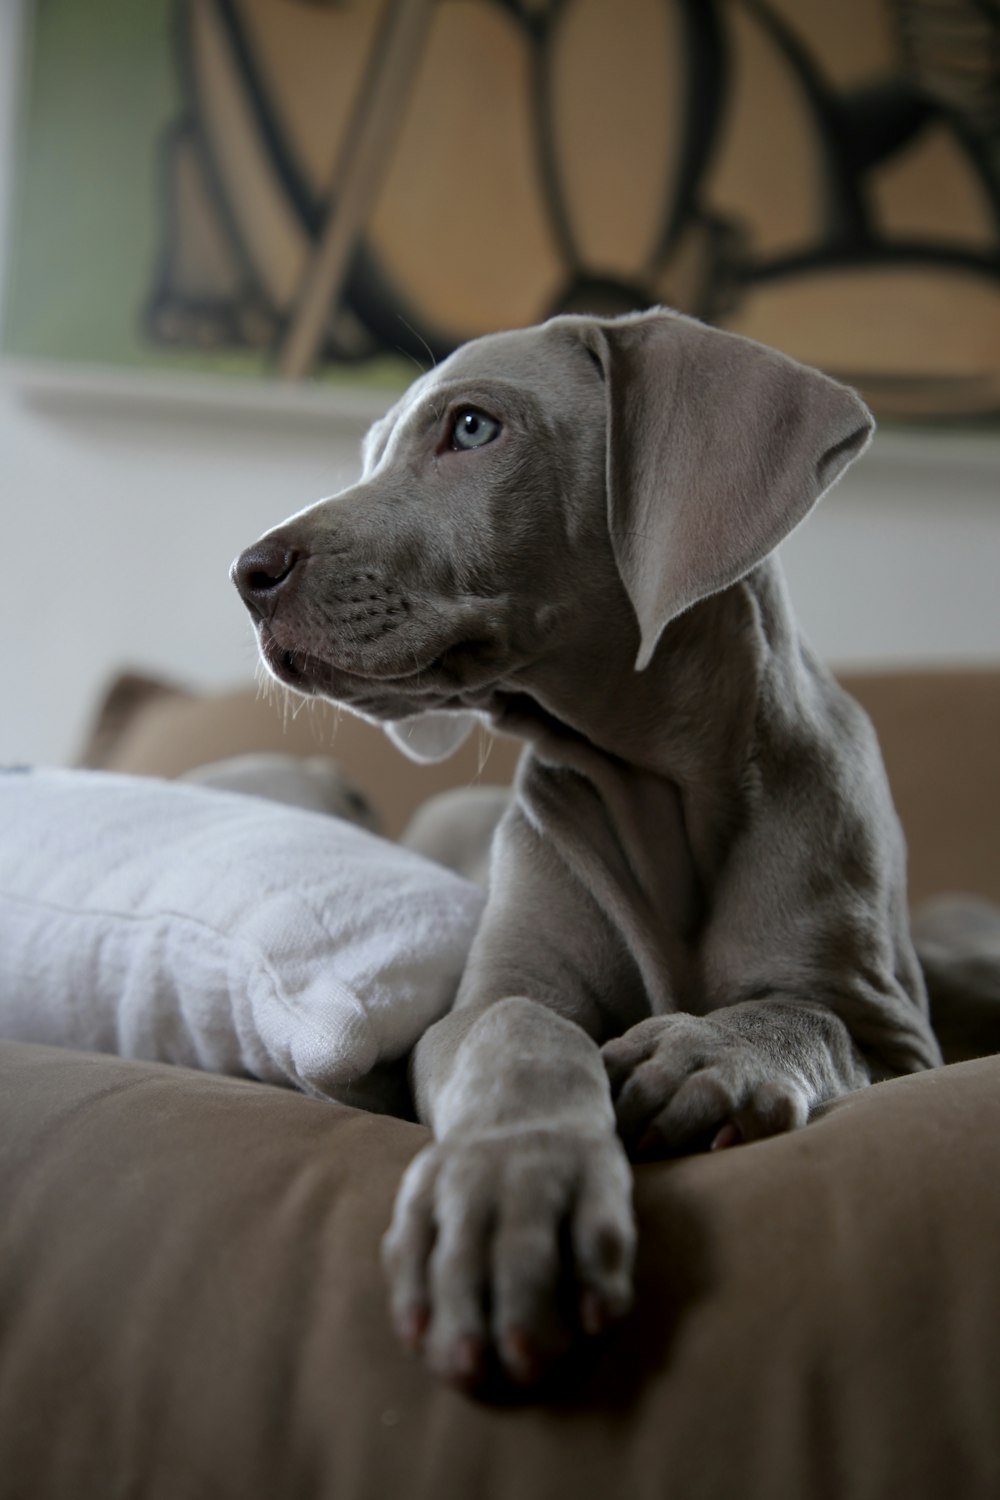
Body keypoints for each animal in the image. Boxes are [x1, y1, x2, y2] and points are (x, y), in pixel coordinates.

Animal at [230, 307, 941, 1392]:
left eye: (472, 428)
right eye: (372, 451)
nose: (248, 575)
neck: (662, 798)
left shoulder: (903, 1039)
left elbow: (809, 1017)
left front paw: (711, 1050)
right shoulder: (483, 1003)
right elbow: (521, 1030)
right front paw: (511, 1197)